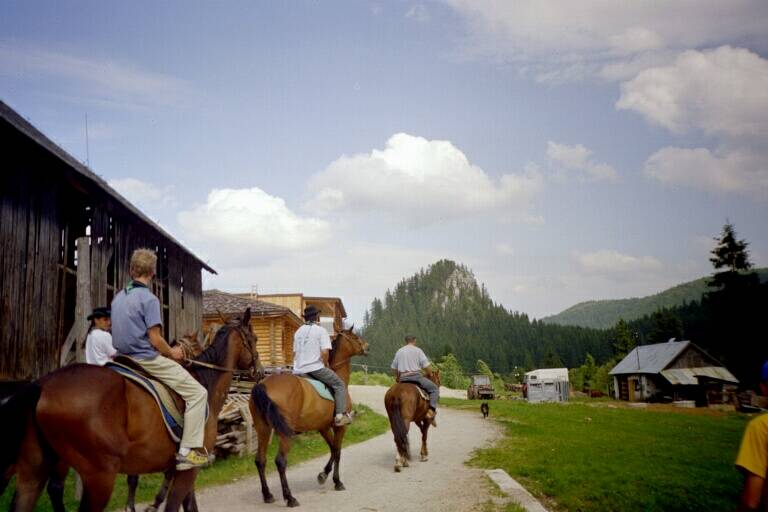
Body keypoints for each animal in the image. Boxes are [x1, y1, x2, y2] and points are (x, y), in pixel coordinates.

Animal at [0, 308, 261, 512]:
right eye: (256, 339)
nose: (259, 370)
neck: (204, 381)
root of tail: (42, 384)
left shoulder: (176, 466)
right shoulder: (187, 468)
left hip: (34, 472)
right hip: (99, 476)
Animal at [249, 327, 368, 507]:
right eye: (354, 337)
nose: (366, 346)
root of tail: (263, 384)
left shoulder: (323, 427)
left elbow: (332, 448)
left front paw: (323, 475)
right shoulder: (340, 426)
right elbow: (338, 451)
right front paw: (337, 481)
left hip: (263, 429)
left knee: (260, 460)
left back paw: (267, 495)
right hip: (285, 432)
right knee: (280, 461)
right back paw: (290, 498)